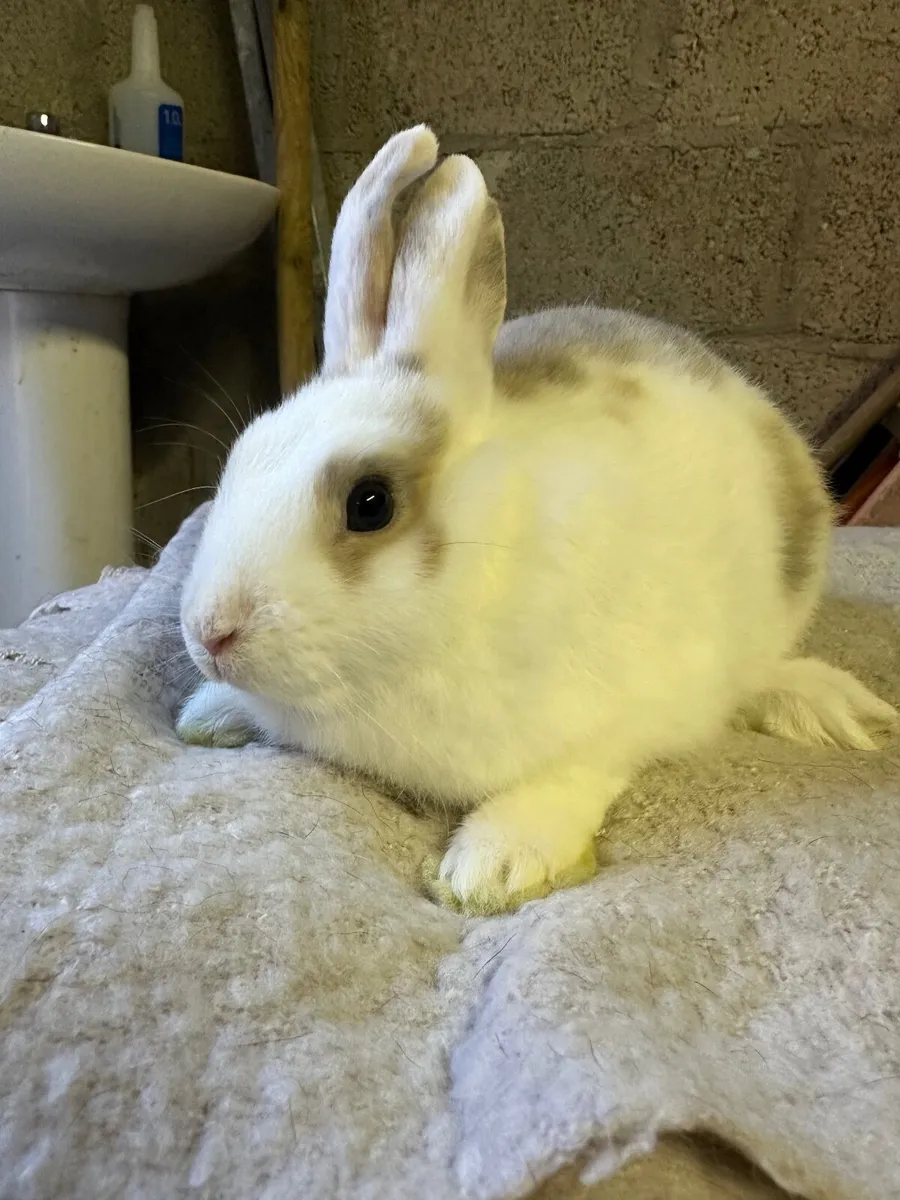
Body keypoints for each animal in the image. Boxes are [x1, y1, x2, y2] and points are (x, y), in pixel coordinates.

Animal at [176, 124, 896, 915]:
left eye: (370, 504)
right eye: (241, 455)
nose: (210, 634)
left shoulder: (625, 715)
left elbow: (572, 774)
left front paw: (494, 867)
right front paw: (210, 712)